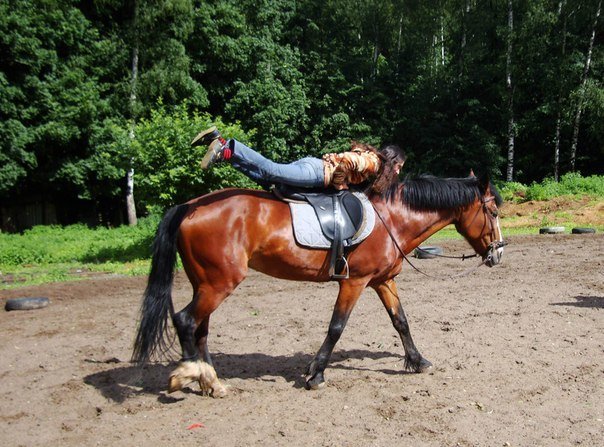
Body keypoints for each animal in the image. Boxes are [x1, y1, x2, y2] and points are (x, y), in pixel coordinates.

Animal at [132, 176, 504, 400]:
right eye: (494, 211)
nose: (499, 252)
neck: (391, 218)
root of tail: (190, 206)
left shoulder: (383, 280)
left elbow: (401, 321)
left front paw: (417, 360)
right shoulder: (355, 282)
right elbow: (336, 327)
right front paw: (316, 374)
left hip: (207, 284)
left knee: (201, 329)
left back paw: (211, 380)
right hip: (218, 284)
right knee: (185, 321)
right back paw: (193, 376)